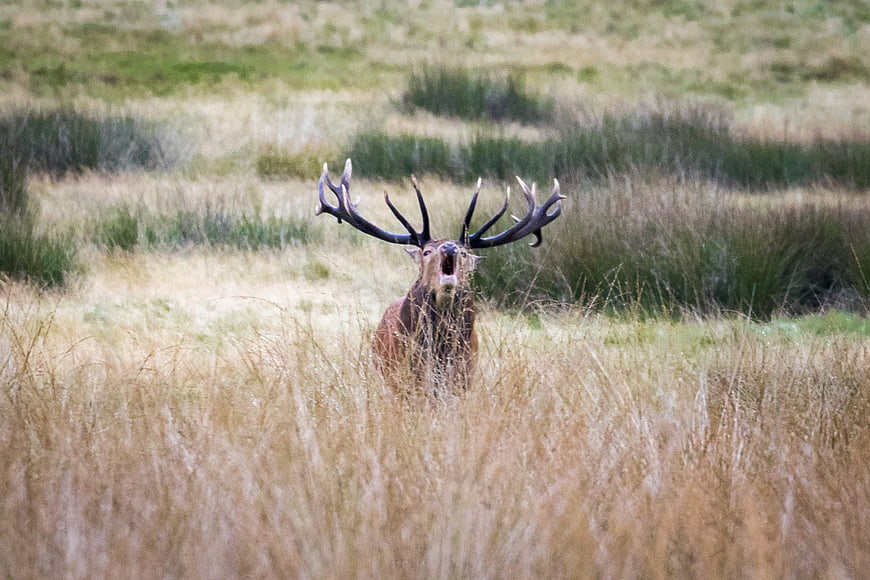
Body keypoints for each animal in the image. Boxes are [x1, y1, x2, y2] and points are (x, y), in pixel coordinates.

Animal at [316, 159, 565, 398]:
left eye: (464, 253)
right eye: (427, 251)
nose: (450, 247)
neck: (439, 352)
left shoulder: (462, 378)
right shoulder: (403, 377)